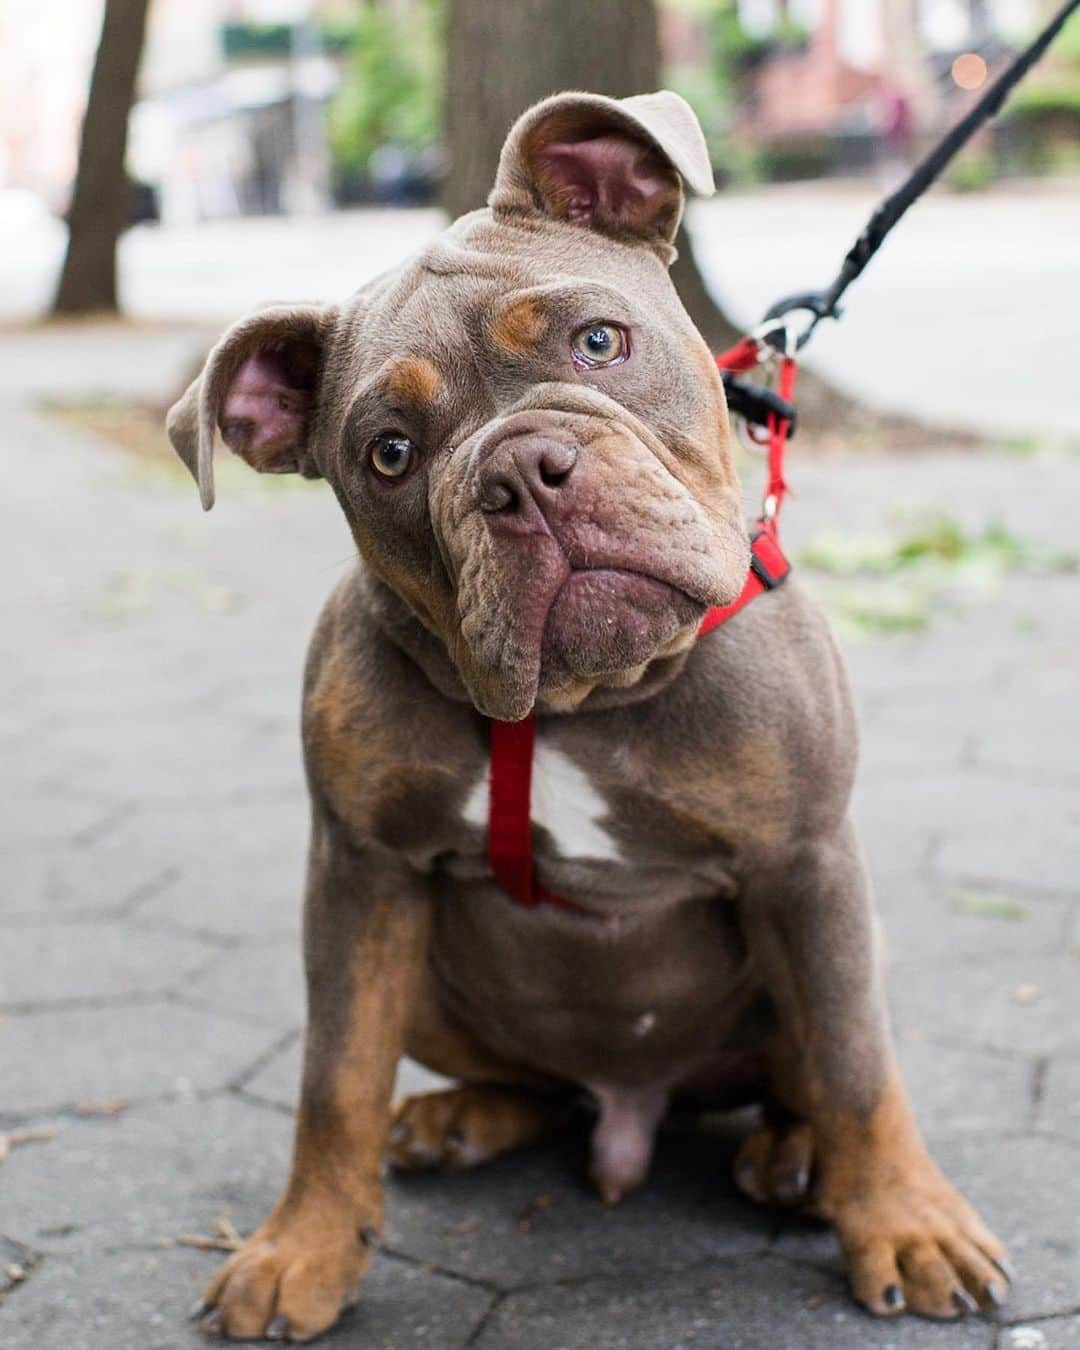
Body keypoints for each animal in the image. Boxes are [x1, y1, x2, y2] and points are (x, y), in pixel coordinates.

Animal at [170, 92, 1015, 1339]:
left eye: (599, 343)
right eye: (389, 454)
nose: (523, 472)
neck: (580, 700)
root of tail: (635, 1104)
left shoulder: (807, 863)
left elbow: (861, 1069)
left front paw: (908, 1224)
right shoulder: (361, 872)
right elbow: (334, 1078)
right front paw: (302, 1248)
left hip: (840, 941)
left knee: (816, 1064)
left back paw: (796, 1159)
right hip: (429, 981)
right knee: (529, 1088)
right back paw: (455, 1117)